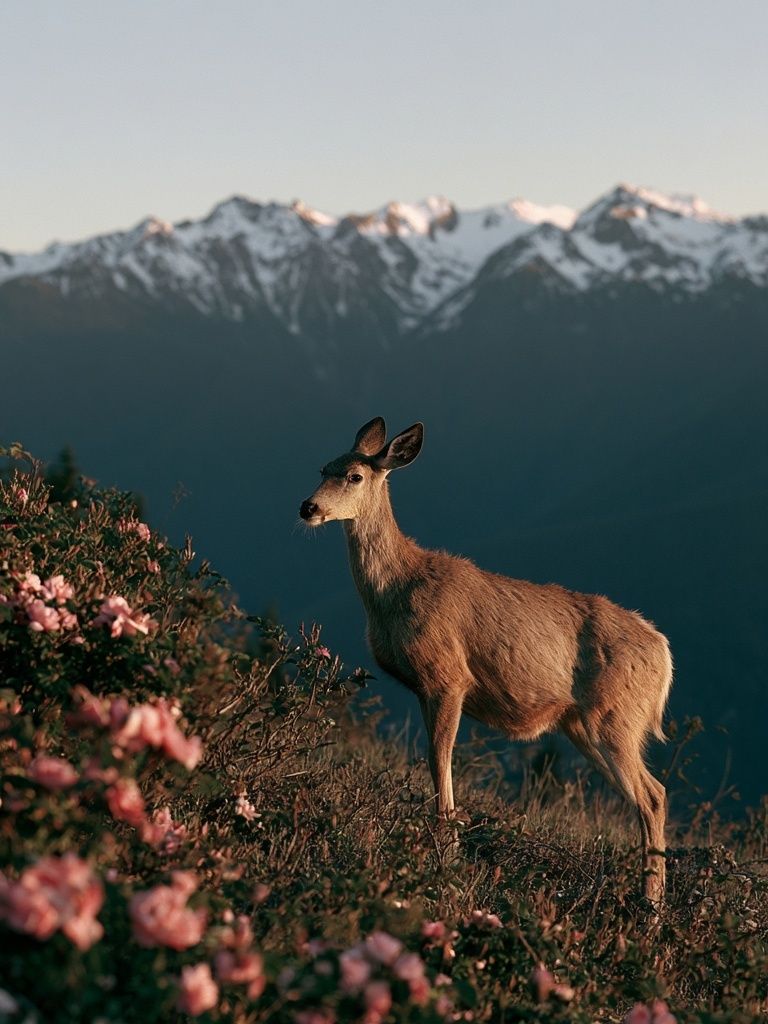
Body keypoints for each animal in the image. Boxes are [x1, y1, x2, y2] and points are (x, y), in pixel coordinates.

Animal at [299, 417, 673, 904]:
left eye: (355, 475)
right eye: (323, 467)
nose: (307, 506)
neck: (396, 590)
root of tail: (663, 652)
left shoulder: (448, 676)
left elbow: (439, 760)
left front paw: (448, 855)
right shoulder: (423, 688)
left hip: (615, 716)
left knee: (652, 796)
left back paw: (652, 905)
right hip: (581, 725)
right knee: (650, 794)